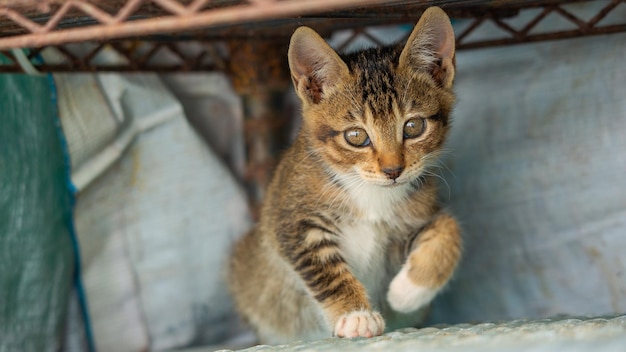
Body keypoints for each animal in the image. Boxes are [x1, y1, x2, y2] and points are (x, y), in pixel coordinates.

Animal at [228, 6, 458, 346]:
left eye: (413, 127)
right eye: (356, 136)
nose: (393, 170)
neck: (368, 191)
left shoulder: (416, 214)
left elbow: (448, 229)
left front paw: (407, 292)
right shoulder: (293, 220)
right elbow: (324, 270)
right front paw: (356, 315)